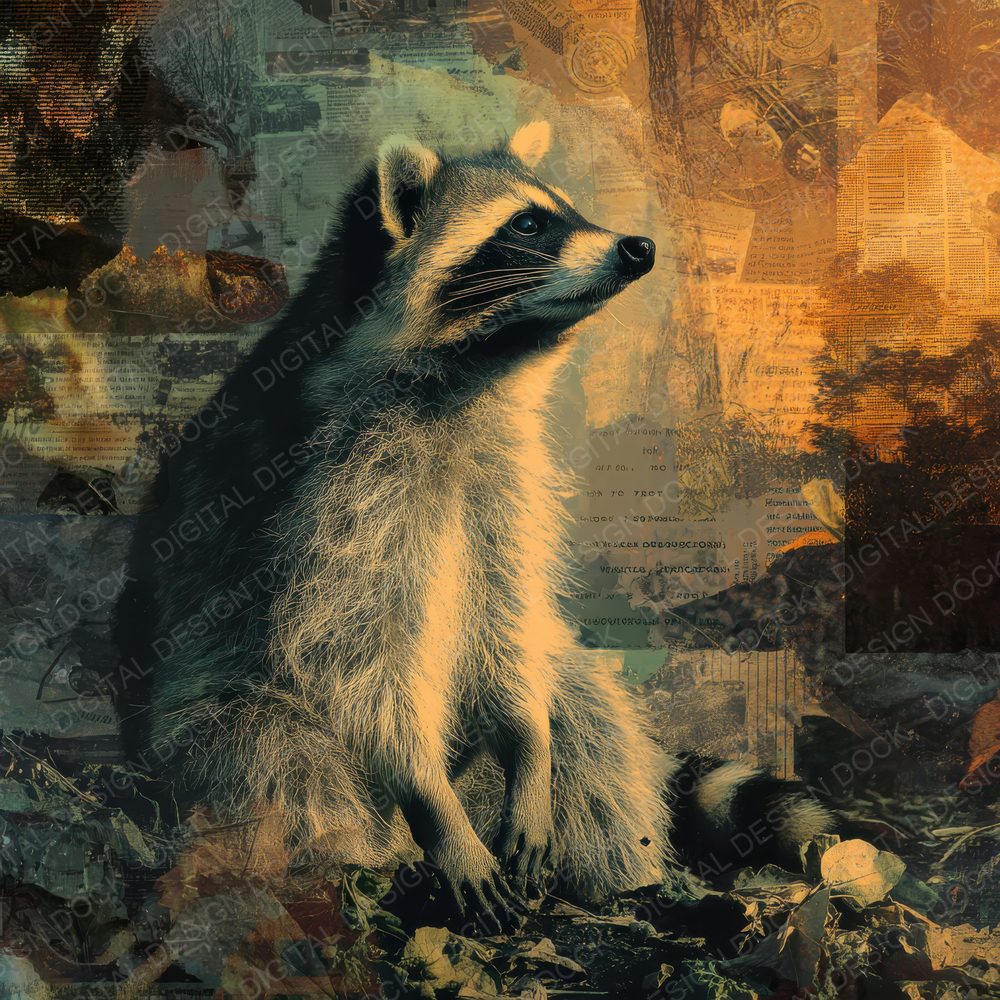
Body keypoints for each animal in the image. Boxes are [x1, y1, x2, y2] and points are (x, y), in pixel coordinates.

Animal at [113, 123, 830, 932]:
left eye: (565, 210)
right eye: (527, 226)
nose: (639, 248)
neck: (476, 375)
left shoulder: (503, 472)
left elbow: (503, 610)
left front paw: (529, 744)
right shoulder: (339, 479)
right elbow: (352, 645)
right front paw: (425, 793)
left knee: (582, 707)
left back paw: (615, 873)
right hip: (194, 734)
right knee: (273, 755)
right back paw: (358, 865)